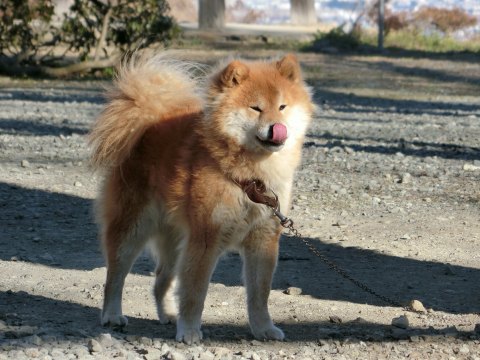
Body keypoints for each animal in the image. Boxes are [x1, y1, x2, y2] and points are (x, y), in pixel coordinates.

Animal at [89, 52, 316, 344]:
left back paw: (168, 314)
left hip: (175, 240)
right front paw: (189, 330)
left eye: (283, 106)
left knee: (161, 279)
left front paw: (263, 328)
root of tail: (147, 121)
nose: (278, 127)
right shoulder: (206, 237)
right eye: (255, 108)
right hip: (133, 228)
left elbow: (259, 293)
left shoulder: (263, 238)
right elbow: (195, 291)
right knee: (115, 275)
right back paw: (112, 315)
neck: (252, 175)